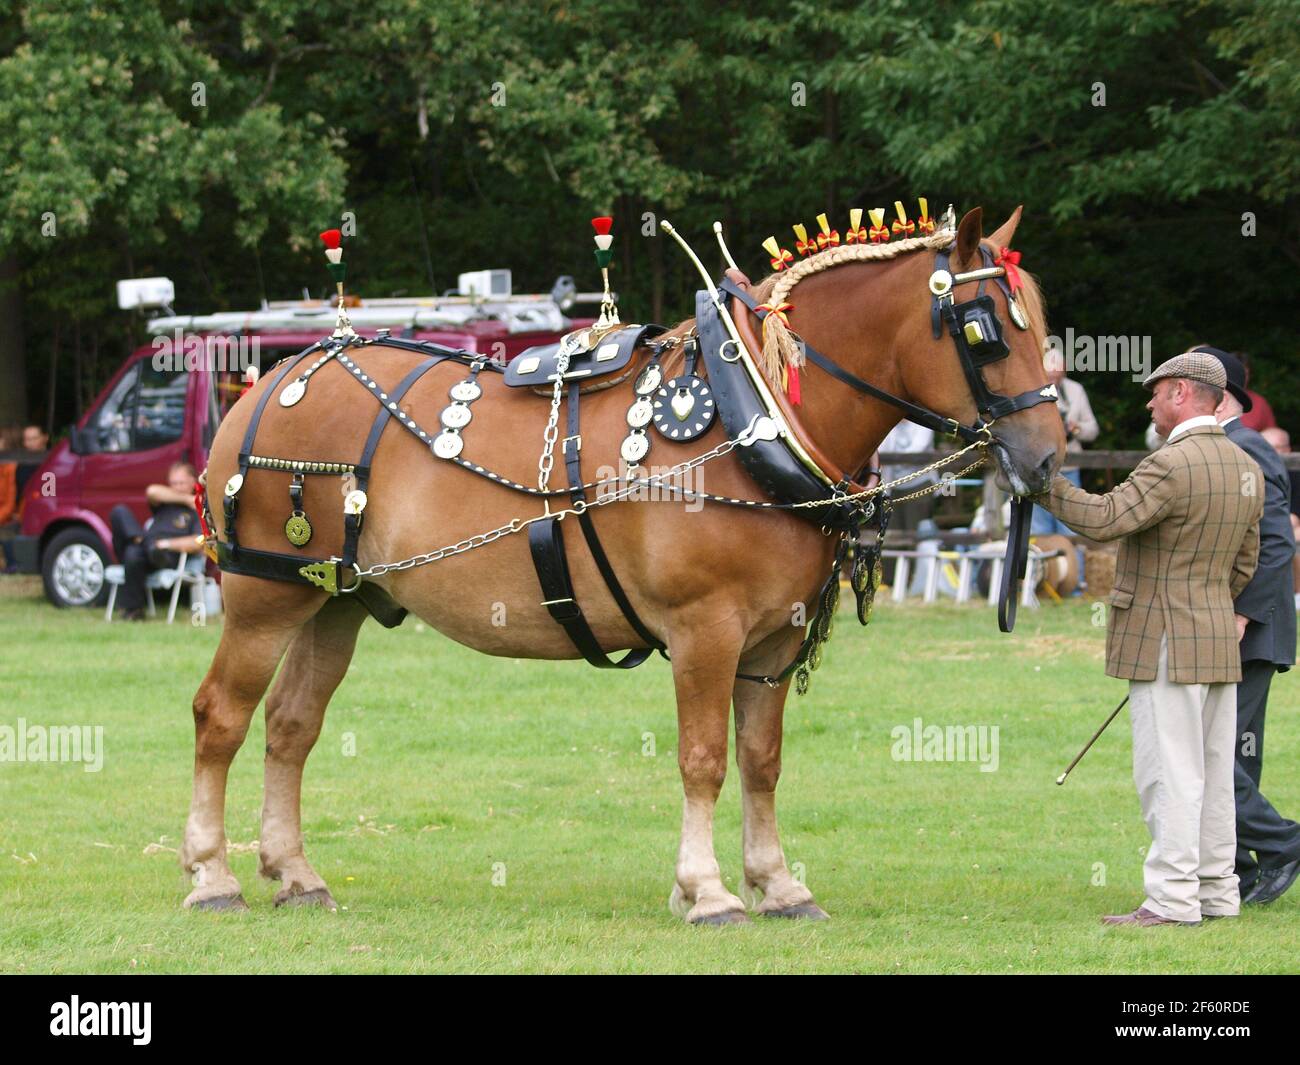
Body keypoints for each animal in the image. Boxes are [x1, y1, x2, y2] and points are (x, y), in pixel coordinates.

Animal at [181, 205, 1065, 923]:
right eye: (984, 329)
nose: (1050, 458)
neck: (751, 421)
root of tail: (273, 376)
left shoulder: (773, 640)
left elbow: (762, 760)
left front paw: (778, 883)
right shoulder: (706, 628)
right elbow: (704, 759)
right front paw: (707, 890)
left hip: (334, 601)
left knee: (291, 725)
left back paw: (296, 873)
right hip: (262, 595)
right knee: (221, 716)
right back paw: (211, 874)